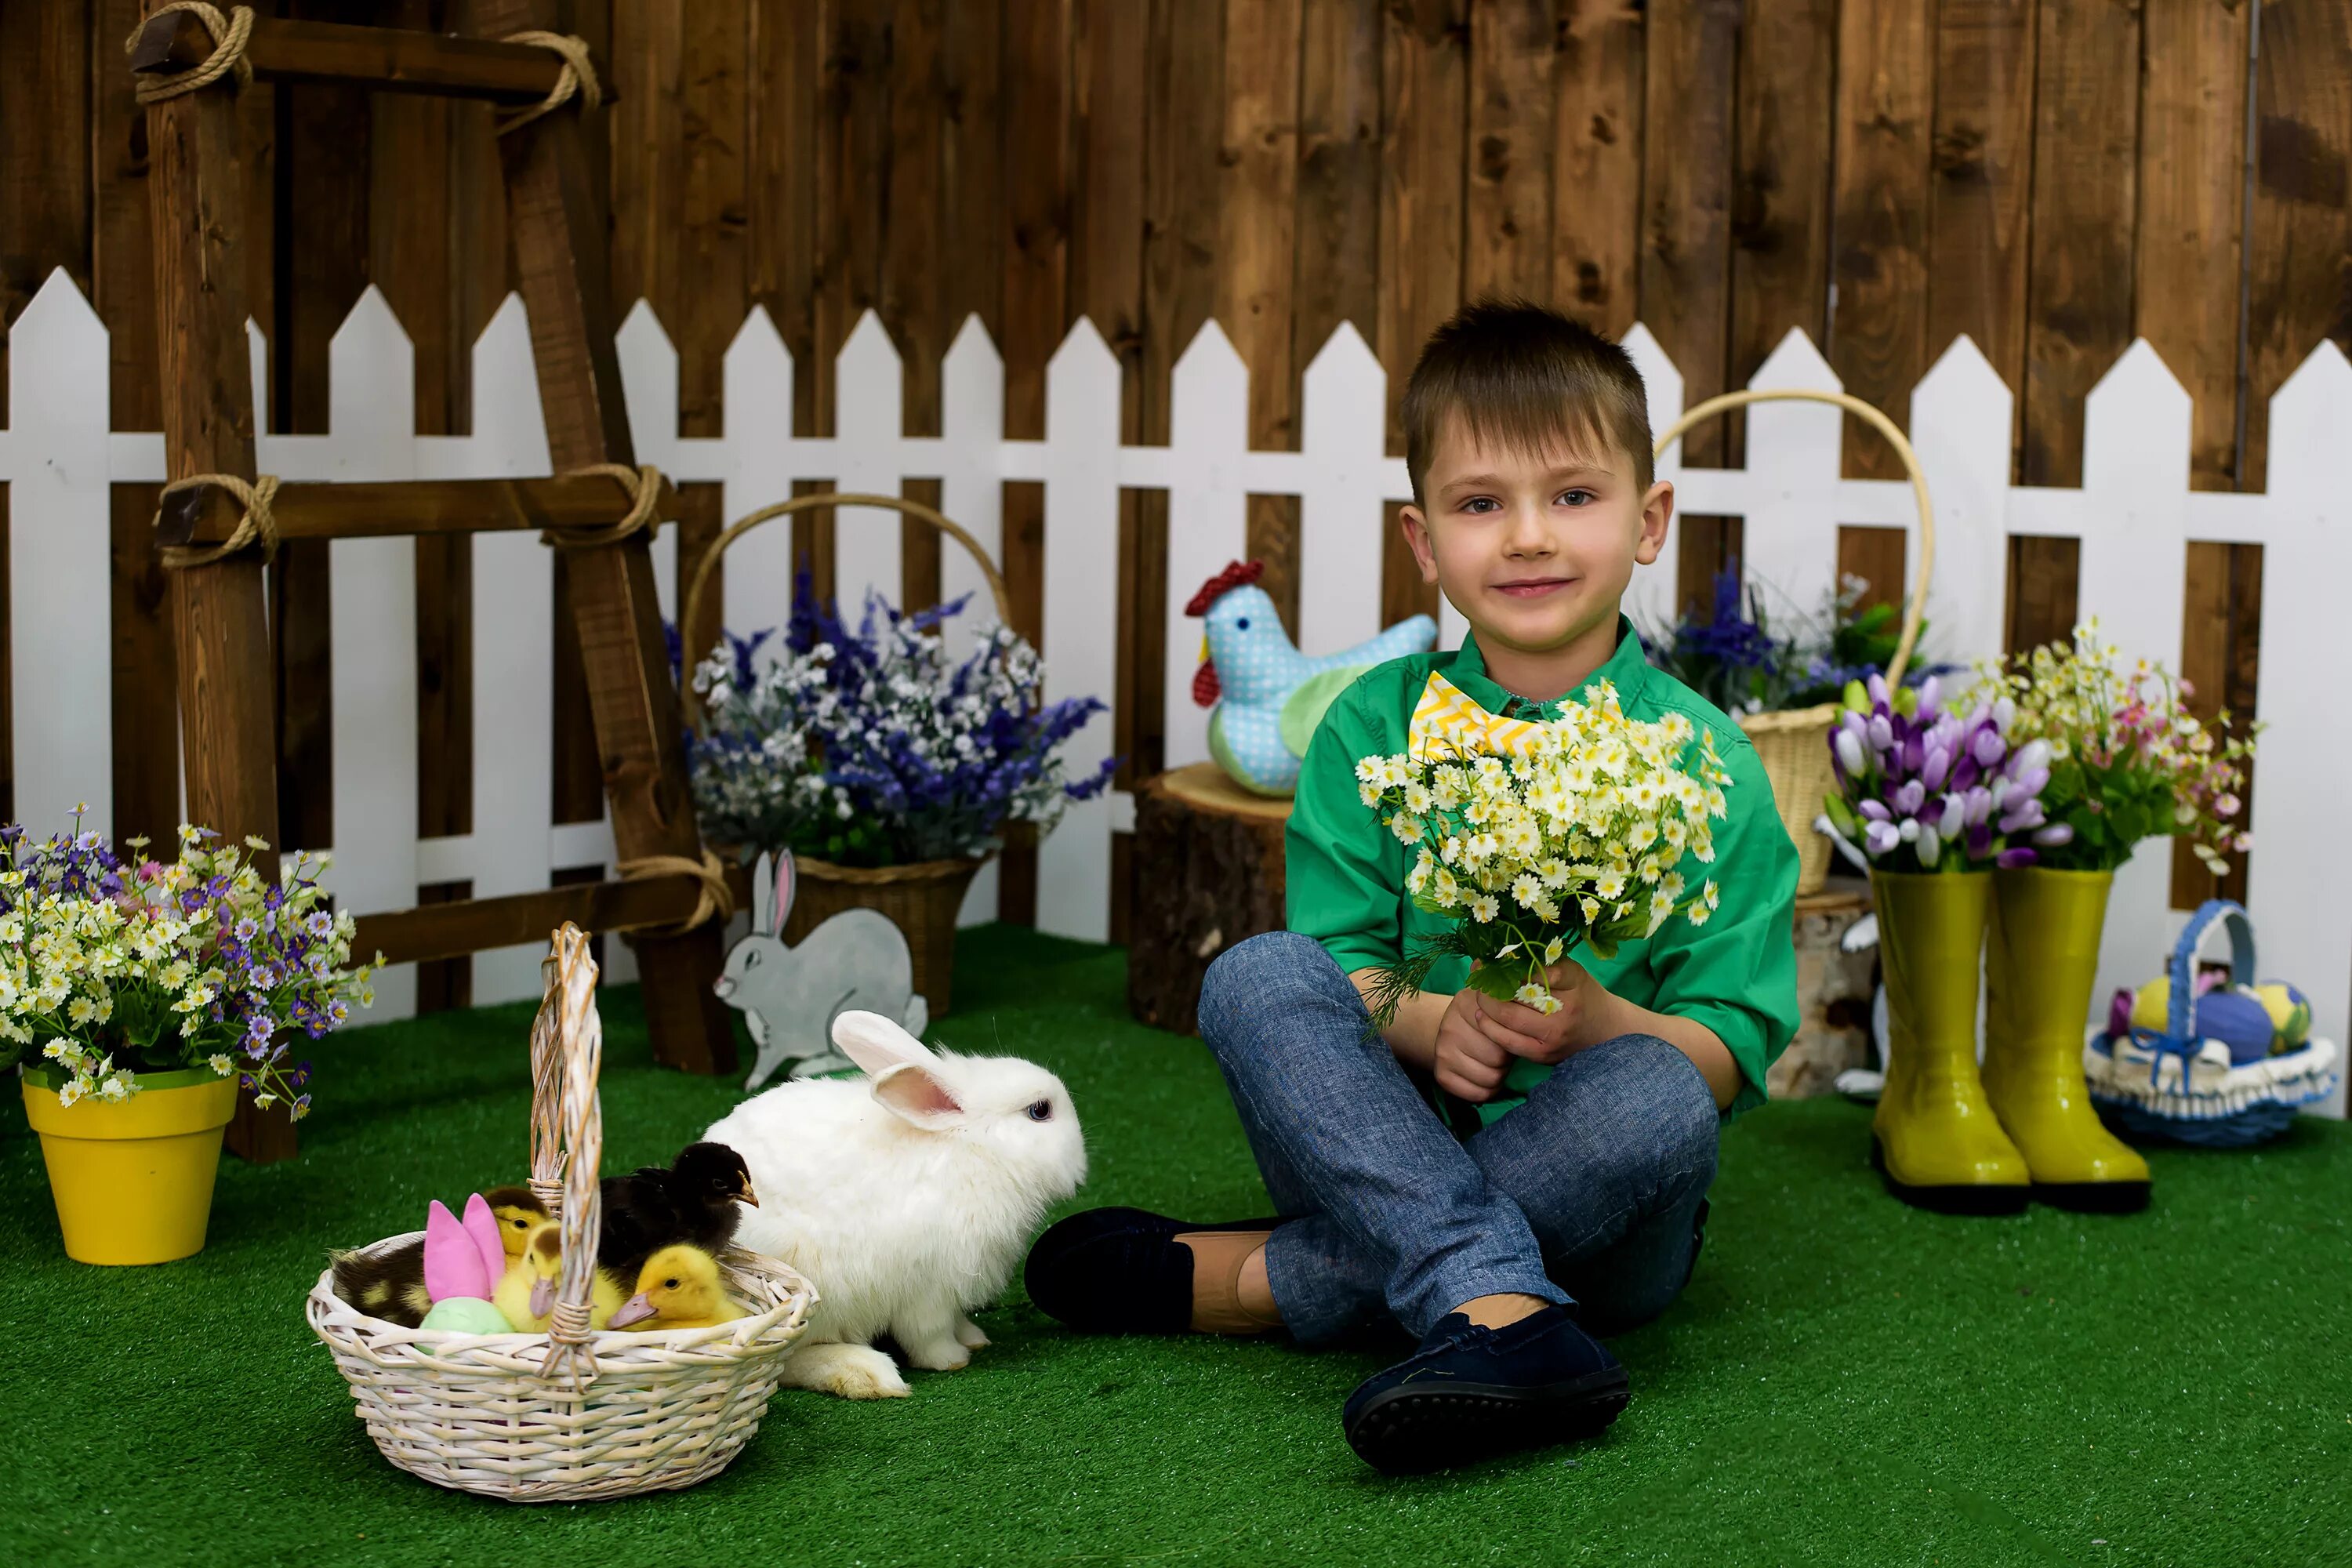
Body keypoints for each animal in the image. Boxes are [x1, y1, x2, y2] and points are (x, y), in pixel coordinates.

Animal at [710, 1011, 1087, 1401]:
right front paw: (953, 1359)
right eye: (1040, 1111)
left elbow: (956, 1321)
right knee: (784, 1359)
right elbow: (929, 1334)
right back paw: (867, 1373)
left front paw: (974, 1338)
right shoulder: (929, 1288)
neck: (974, 1150)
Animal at [715, 846, 927, 1091]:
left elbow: (765, 1064)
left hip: (844, 1020)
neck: (780, 979)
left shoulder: (780, 1040)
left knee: (847, 1060)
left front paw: (750, 1085)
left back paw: (804, 1068)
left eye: (751, 959)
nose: (719, 985)